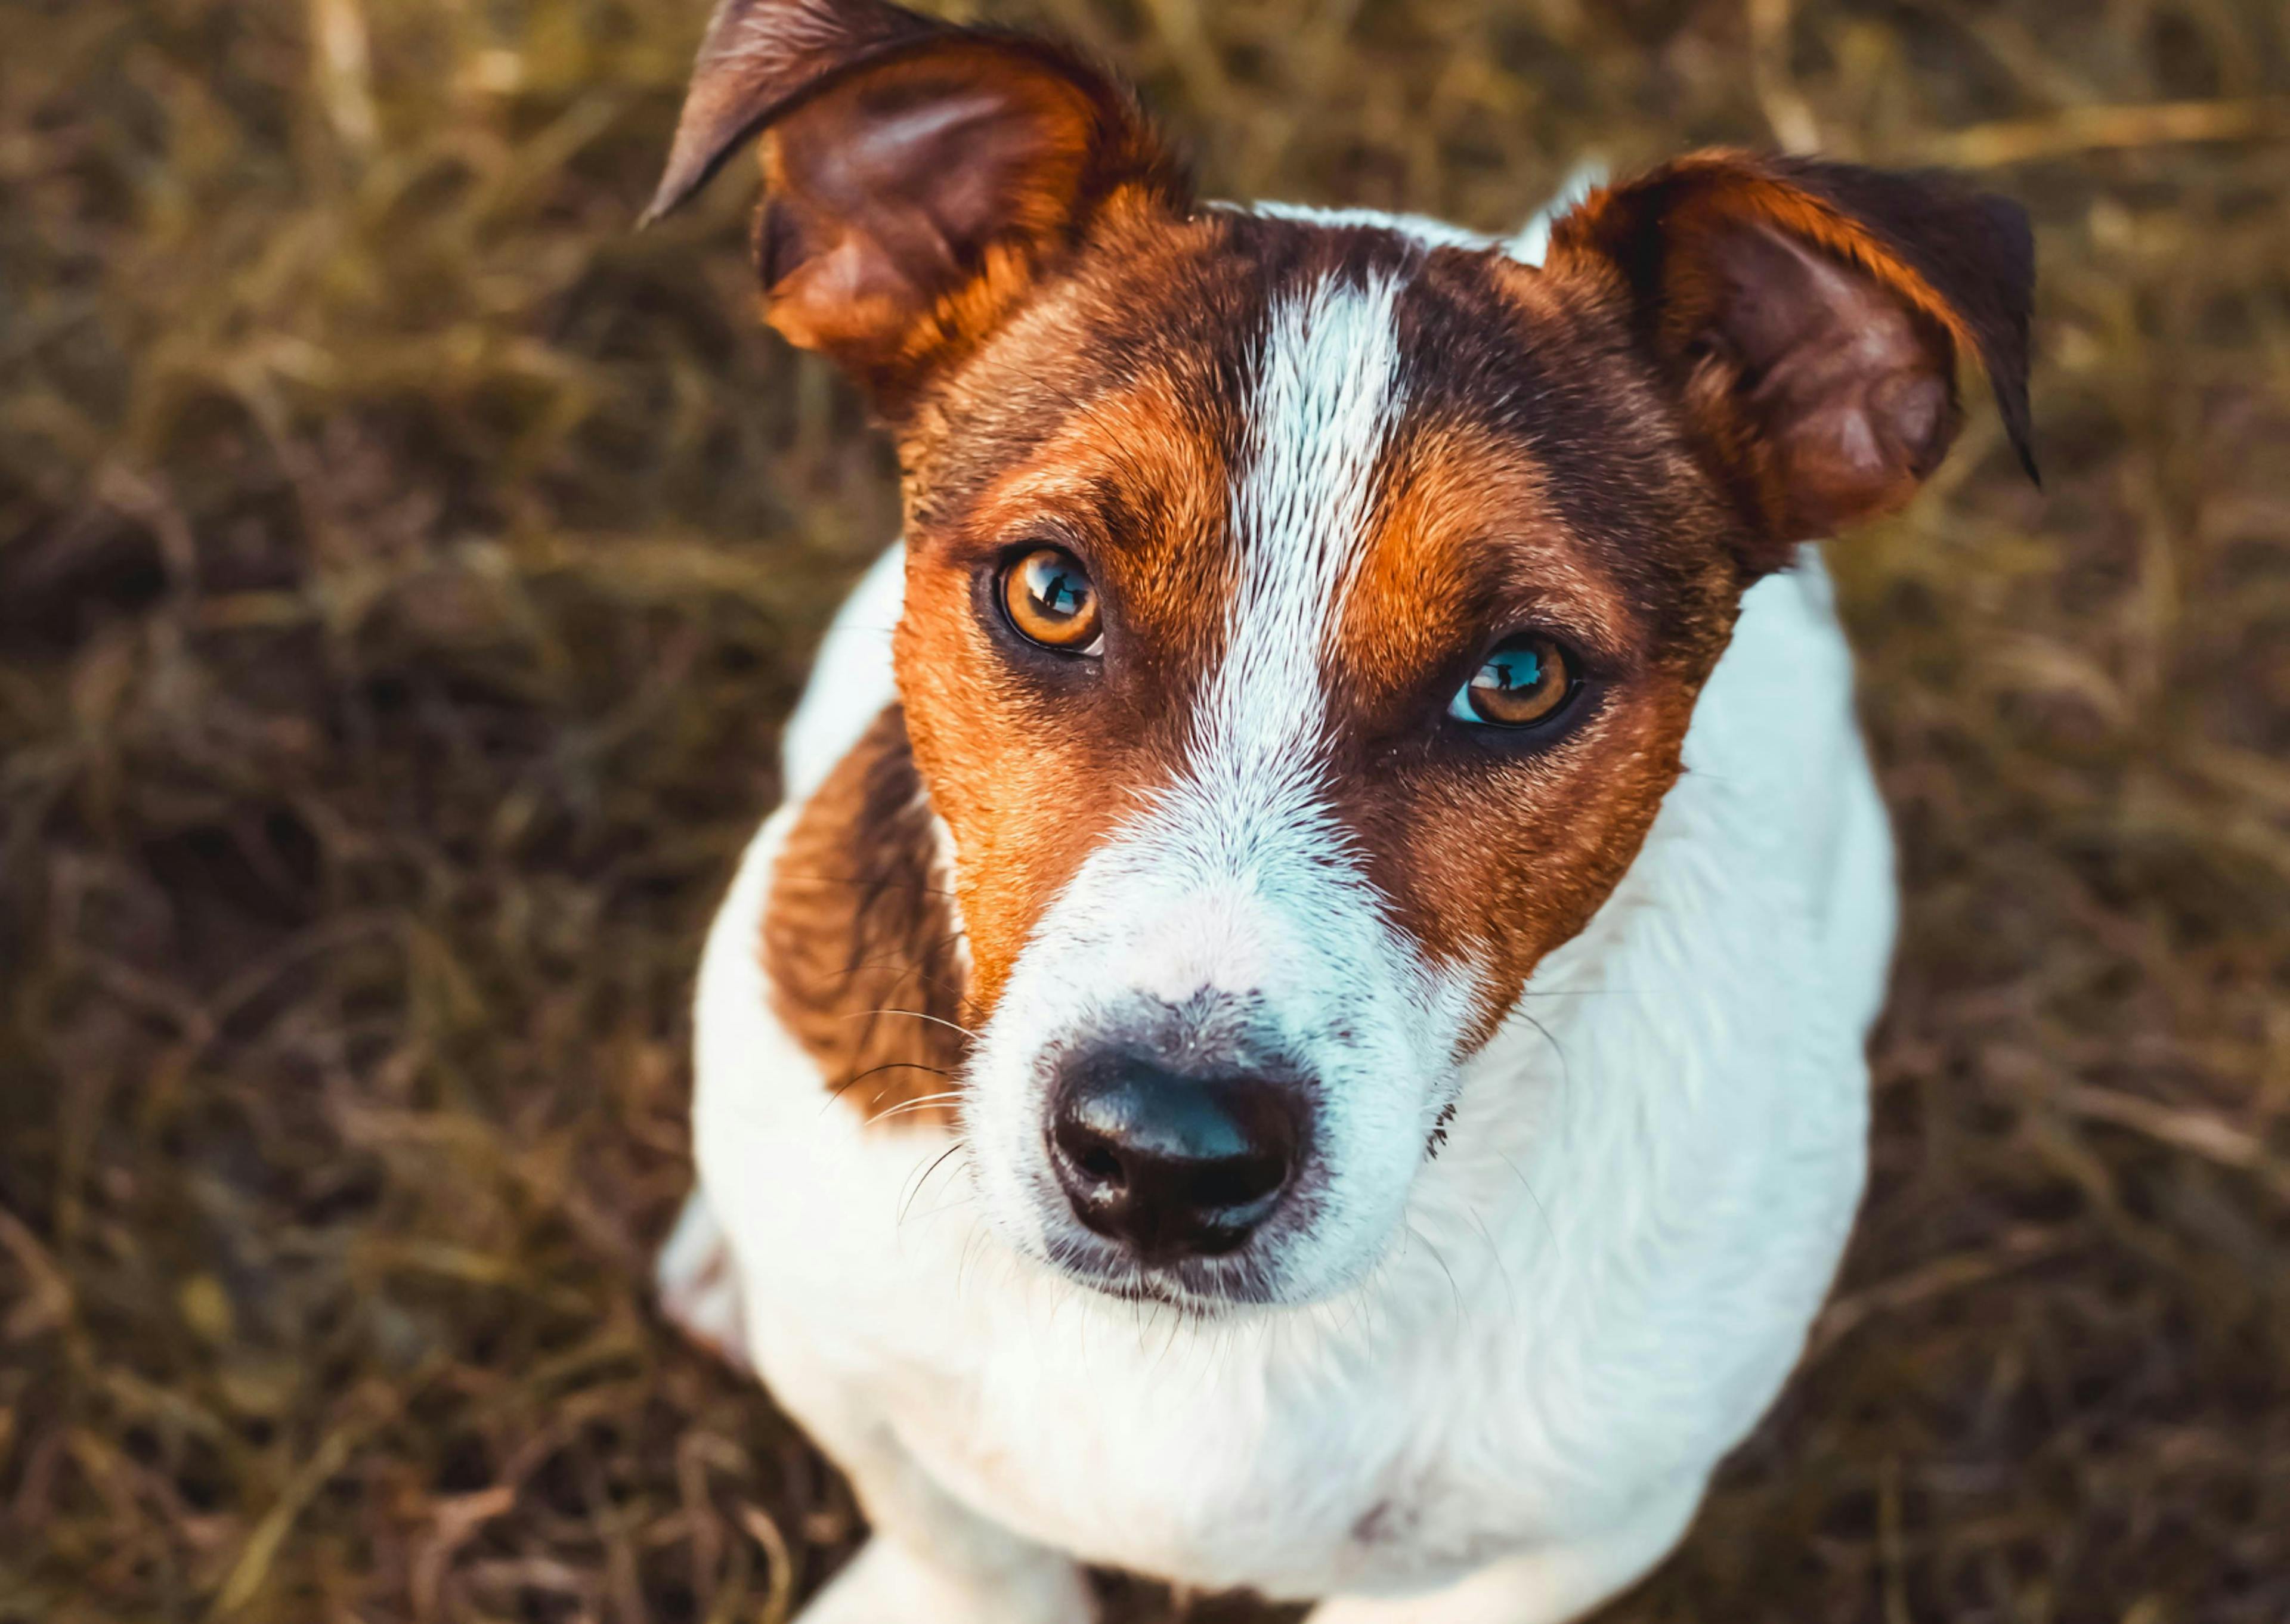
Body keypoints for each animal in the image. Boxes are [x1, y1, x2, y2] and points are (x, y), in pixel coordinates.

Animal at [636, 6, 2033, 1612]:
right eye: (1050, 591)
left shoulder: (1577, 1529)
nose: (1163, 1159)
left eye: (1518, 678)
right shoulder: (854, 1380)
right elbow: (966, 1542)